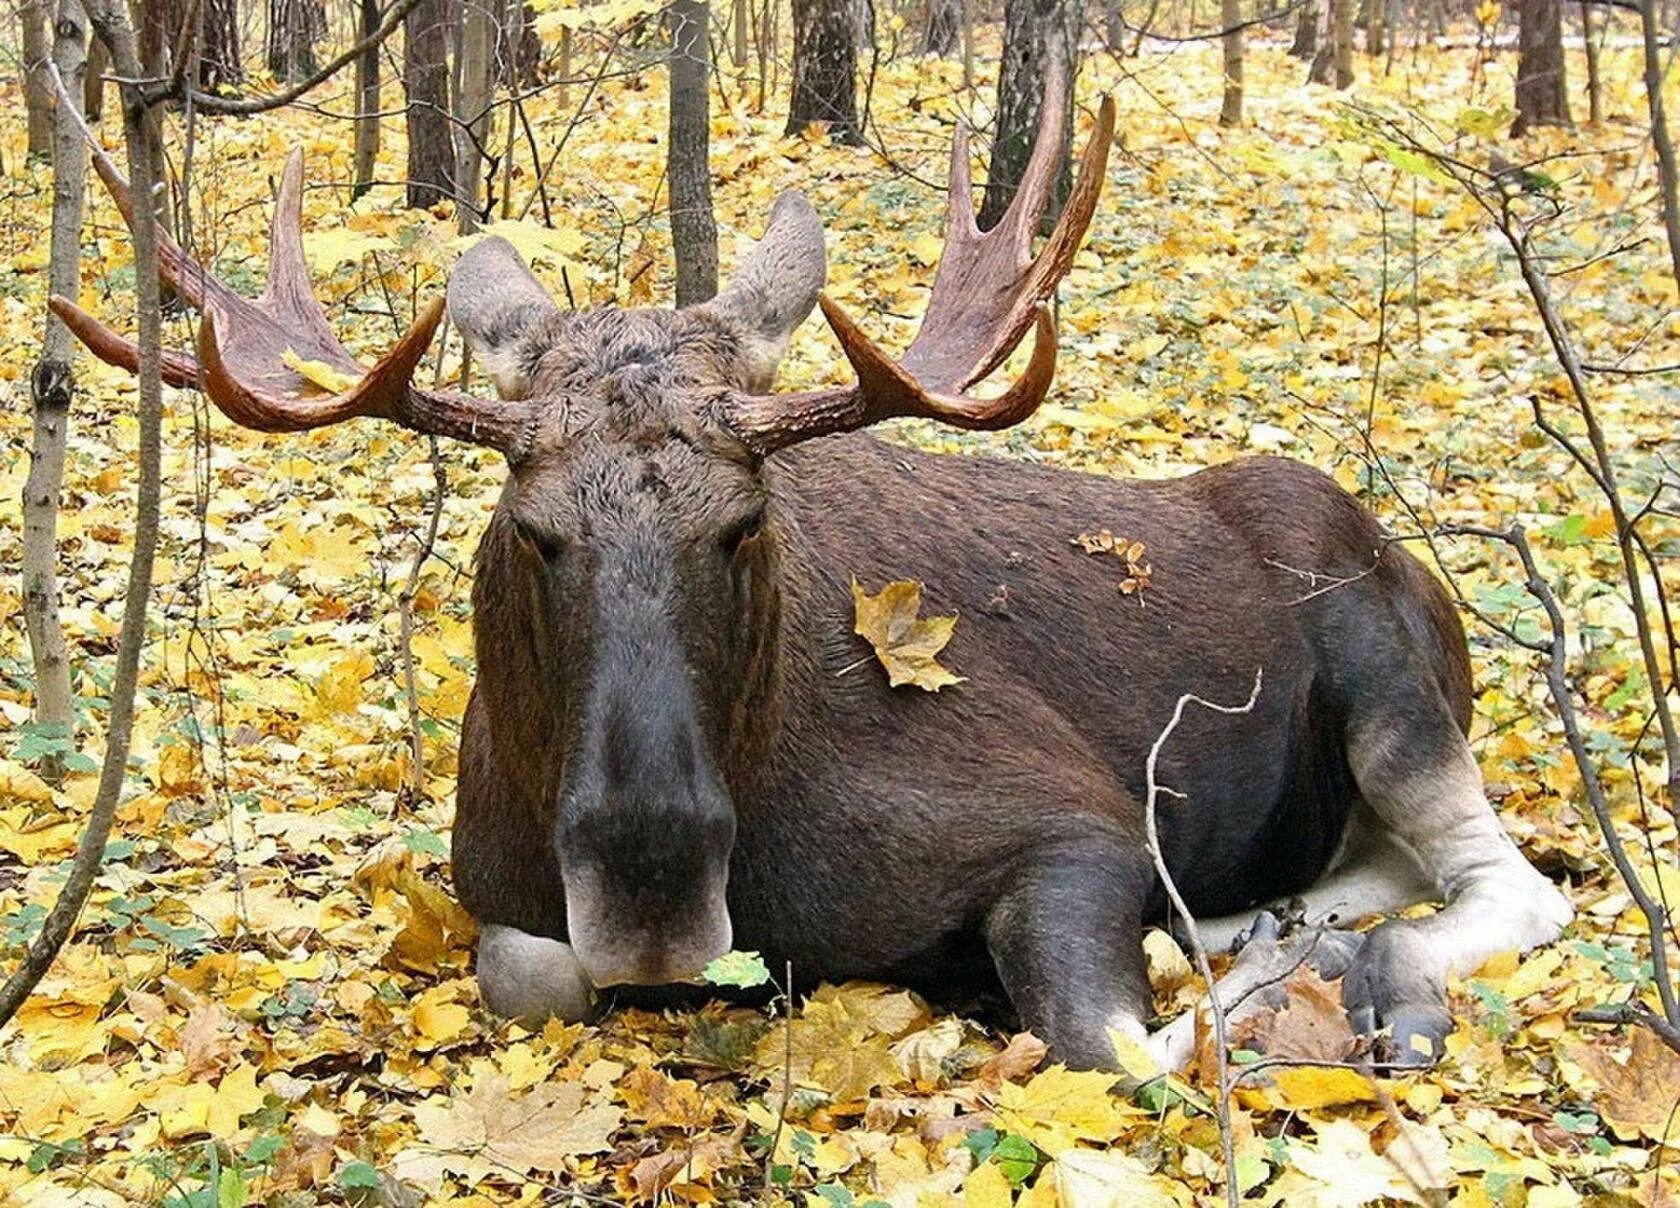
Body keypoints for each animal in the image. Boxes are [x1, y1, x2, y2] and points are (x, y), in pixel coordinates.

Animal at [55, 89, 1572, 1075]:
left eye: (743, 523)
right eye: (534, 531)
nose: (653, 891)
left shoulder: (1082, 820)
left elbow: (1119, 1044)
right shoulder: (499, 901)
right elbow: (530, 969)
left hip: (1387, 669)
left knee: (1510, 880)